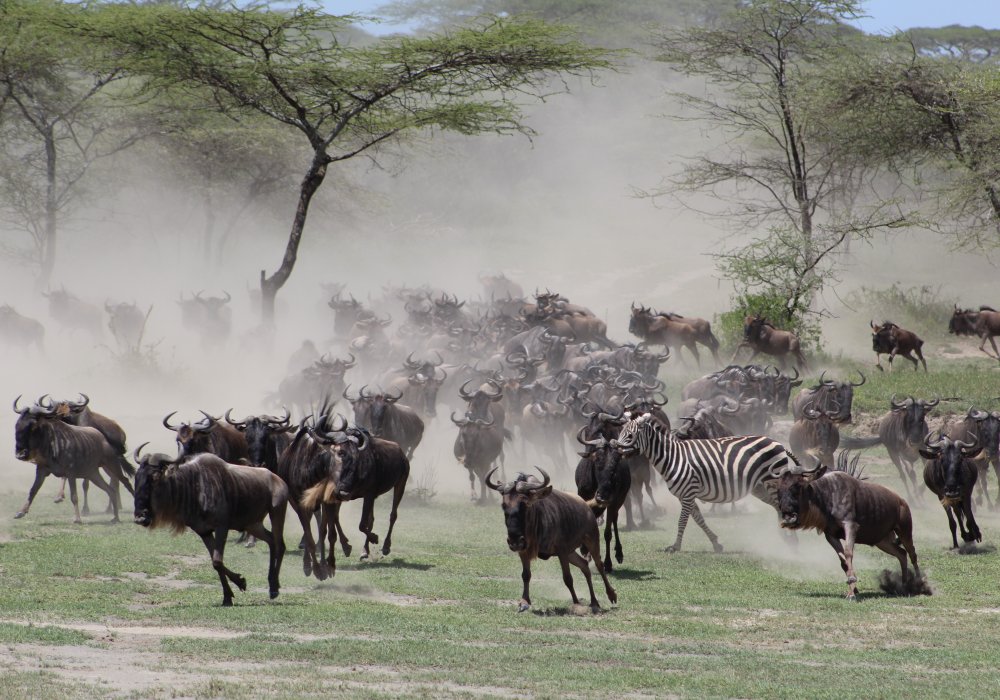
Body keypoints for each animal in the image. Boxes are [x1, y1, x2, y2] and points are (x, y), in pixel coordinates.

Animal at [604, 410, 800, 552]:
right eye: (620, 433)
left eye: (629, 436)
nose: (614, 447)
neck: (672, 457)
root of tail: (777, 443)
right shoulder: (685, 494)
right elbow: (699, 519)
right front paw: (716, 543)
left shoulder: (688, 493)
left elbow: (682, 520)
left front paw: (675, 547)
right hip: (759, 487)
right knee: (777, 507)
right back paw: (785, 537)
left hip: (771, 481)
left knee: (782, 506)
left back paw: (791, 539)